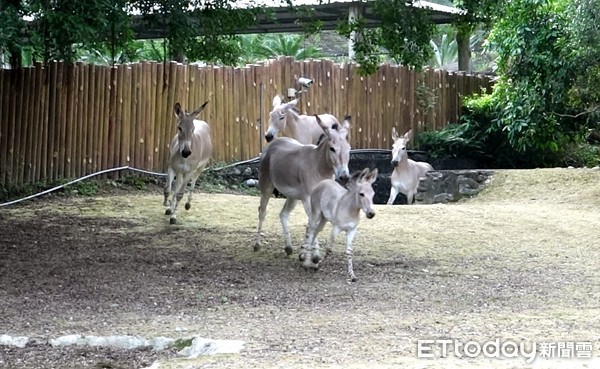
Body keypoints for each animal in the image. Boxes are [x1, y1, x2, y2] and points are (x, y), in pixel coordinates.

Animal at [254, 114, 352, 253]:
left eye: (349, 149)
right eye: (332, 149)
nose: (344, 177)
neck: (318, 166)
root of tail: (273, 143)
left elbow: (314, 224)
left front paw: (308, 247)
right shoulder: (307, 199)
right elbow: (312, 223)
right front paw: (314, 253)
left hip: (293, 197)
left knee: (283, 214)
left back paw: (288, 247)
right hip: (266, 188)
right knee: (262, 211)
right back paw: (257, 245)